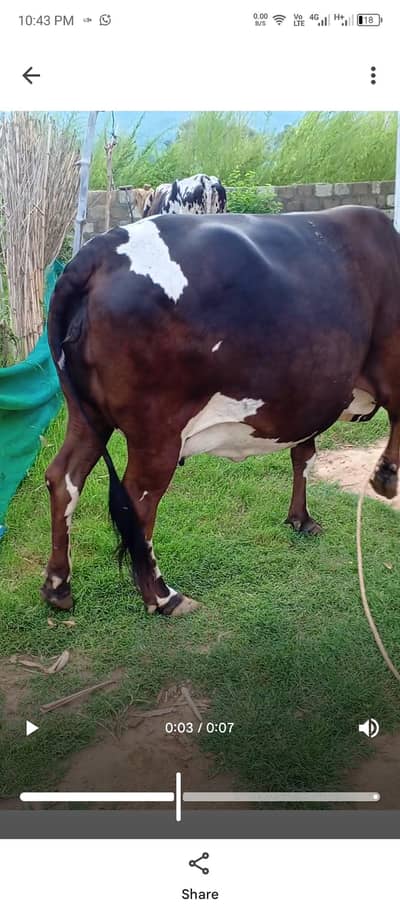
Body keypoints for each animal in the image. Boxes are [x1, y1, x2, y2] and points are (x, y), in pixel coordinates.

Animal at [42, 205, 400, 617]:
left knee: (64, 477)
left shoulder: (309, 398)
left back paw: (58, 587)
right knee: (138, 502)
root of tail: (95, 252)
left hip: (87, 416)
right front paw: (385, 478)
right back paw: (163, 596)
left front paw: (301, 519)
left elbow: (304, 456)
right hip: (157, 431)